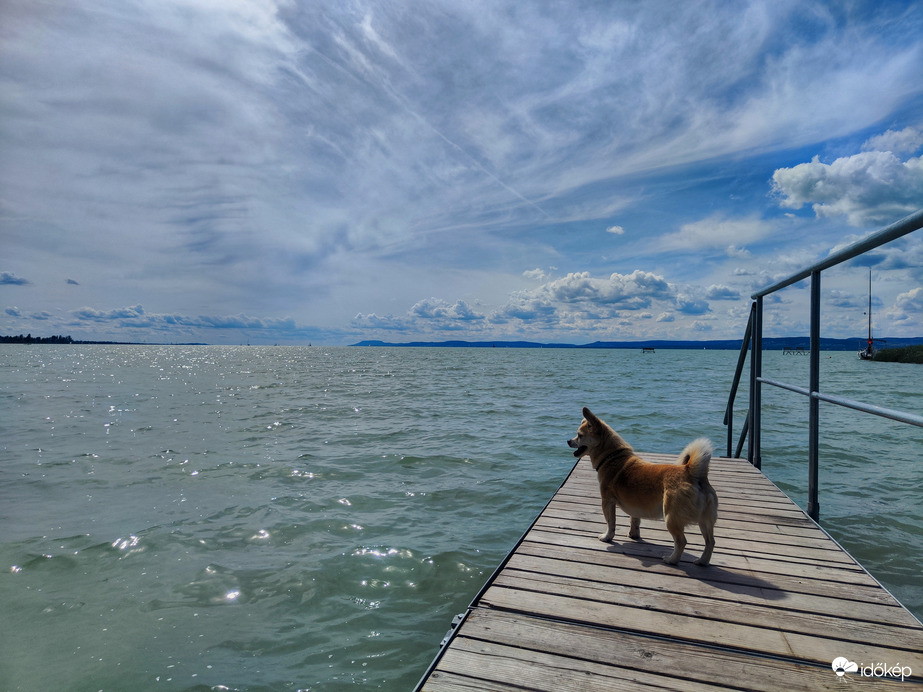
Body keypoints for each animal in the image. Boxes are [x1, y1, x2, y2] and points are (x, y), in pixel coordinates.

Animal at [568, 408, 720, 564]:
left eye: (579, 435)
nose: (568, 441)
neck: (611, 456)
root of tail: (692, 472)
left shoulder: (607, 502)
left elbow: (611, 523)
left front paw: (607, 537)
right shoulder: (634, 506)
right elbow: (634, 520)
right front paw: (633, 535)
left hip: (671, 518)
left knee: (681, 541)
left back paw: (671, 560)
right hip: (705, 520)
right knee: (710, 542)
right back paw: (702, 562)